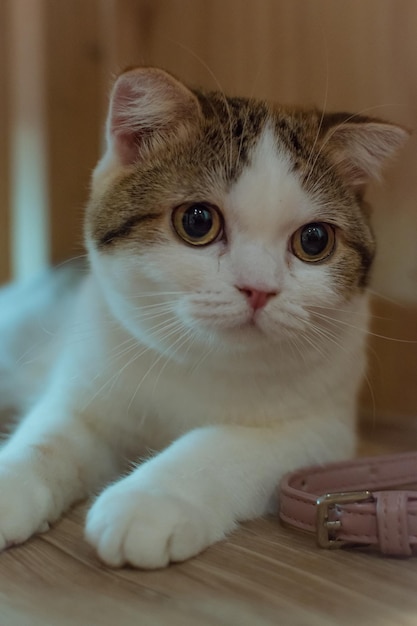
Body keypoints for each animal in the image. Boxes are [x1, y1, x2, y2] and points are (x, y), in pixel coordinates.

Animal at [0, 67, 408, 564]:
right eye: (197, 222)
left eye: (314, 241)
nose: (258, 289)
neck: (204, 358)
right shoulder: (84, 386)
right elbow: (48, 436)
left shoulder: (321, 430)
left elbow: (221, 446)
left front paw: (150, 500)